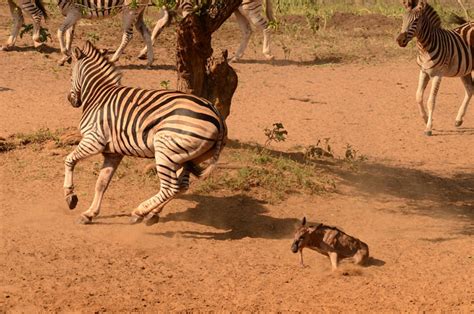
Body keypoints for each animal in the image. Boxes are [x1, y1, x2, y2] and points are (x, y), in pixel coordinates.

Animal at [64, 40, 226, 226]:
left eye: (71, 74)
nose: (71, 100)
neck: (99, 95)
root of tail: (217, 116)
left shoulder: (93, 140)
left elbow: (69, 160)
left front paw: (70, 196)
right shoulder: (113, 152)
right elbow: (101, 183)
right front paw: (90, 213)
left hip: (165, 150)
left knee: (171, 187)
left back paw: (139, 211)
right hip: (185, 157)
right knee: (181, 186)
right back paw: (151, 214)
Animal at [137, 0, 274, 62]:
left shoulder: (187, 7)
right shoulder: (168, 10)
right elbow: (157, 30)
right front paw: (143, 52)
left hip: (248, 7)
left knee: (267, 27)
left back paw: (268, 53)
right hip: (238, 9)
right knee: (247, 30)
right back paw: (236, 57)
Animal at [396, 0, 474, 135]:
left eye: (416, 21)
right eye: (403, 18)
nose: (400, 40)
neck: (424, 48)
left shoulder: (438, 74)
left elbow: (431, 101)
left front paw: (428, 128)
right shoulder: (423, 71)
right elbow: (418, 96)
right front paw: (425, 118)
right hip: (465, 69)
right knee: (470, 90)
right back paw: (458, 120)